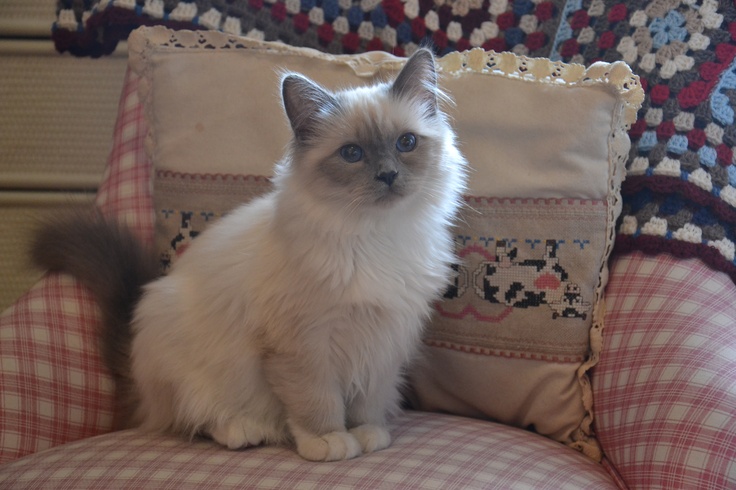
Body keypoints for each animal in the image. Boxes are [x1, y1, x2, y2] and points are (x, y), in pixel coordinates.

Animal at [33, 47, 466, 462]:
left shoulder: (383, 339)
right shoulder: (302, 345)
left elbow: (368, 400)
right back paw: (244, 431)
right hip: (181, 347)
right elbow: (317, 400)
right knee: (193, 419)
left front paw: (366, 434)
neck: (378, 236)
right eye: (352, 154)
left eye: (406, 143)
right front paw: (329, 442)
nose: (388, 175)